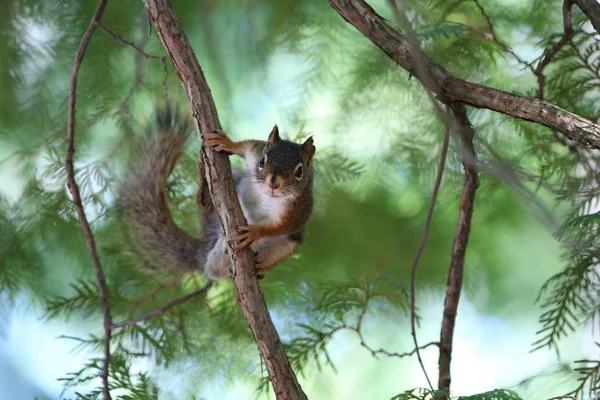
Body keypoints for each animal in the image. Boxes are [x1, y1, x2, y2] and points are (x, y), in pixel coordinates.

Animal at [119, 107, 316, 282]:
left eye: (299, 172)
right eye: (262, 161)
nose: (274, 183)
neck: (267, 194)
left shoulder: (297, 211)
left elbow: (281, 226)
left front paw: (254, 232)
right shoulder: (255, 151)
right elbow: (246, 146)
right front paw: (228, 143)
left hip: (286, 244)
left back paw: (259, 267)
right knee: (207, 207)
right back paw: (205, 187)